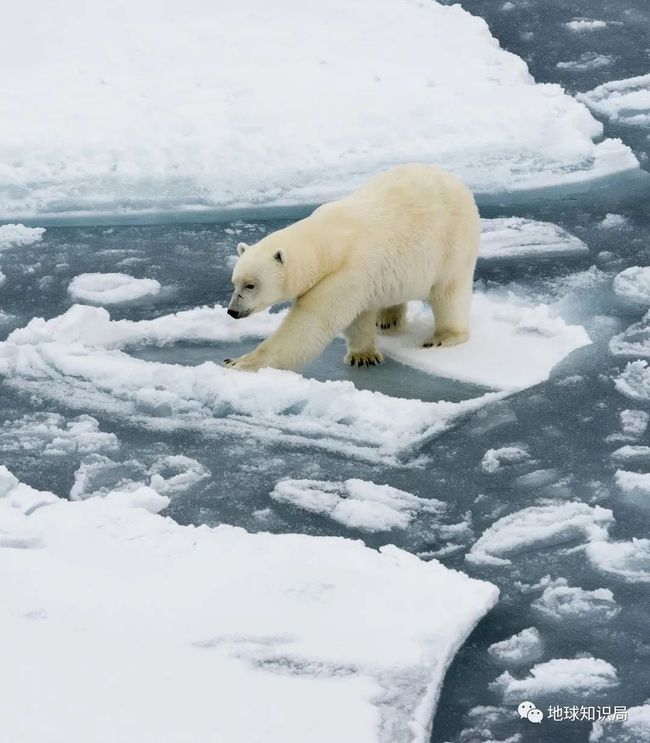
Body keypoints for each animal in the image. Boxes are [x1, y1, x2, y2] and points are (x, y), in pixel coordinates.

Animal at [225, 163, 478, 372]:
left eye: (250, 285)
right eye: (234, 282)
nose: (232, 311)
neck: (329, 240)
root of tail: (455, 180)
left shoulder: (349, 271)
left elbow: (311, 322)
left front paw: (239, 362)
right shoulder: (359, 276)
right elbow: (358, 316)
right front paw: (363, 355)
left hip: (453, 245)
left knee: (449, 294)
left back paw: (443, 336)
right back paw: (387, 319)